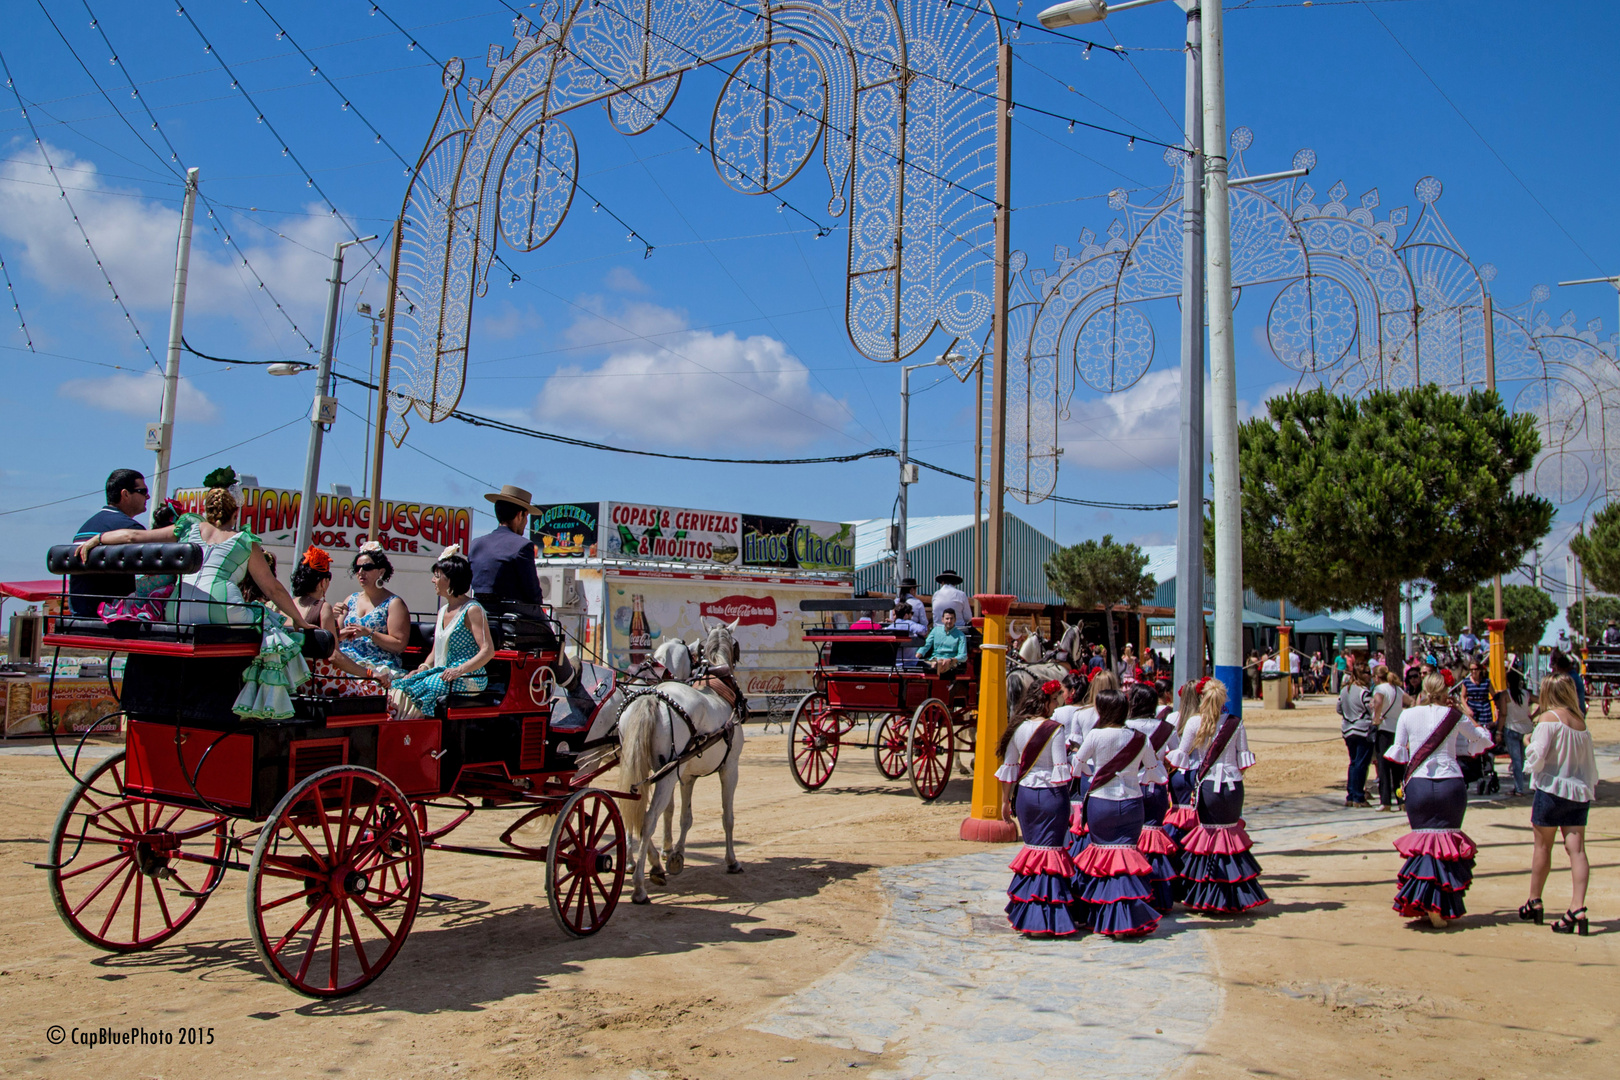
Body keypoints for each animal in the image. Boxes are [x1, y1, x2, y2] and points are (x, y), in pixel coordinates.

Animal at [618, 615, 745, 906]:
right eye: (736, 645)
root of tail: (652, 697)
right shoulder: (730, 769)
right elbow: (727, 816)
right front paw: (731, 861)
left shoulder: (686, 775)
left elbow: (683, 816)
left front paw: (675, 855)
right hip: (665, 776)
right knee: (647, 819)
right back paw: (640, 885)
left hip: (640, 769)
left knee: (633, 809)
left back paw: (645, 865)